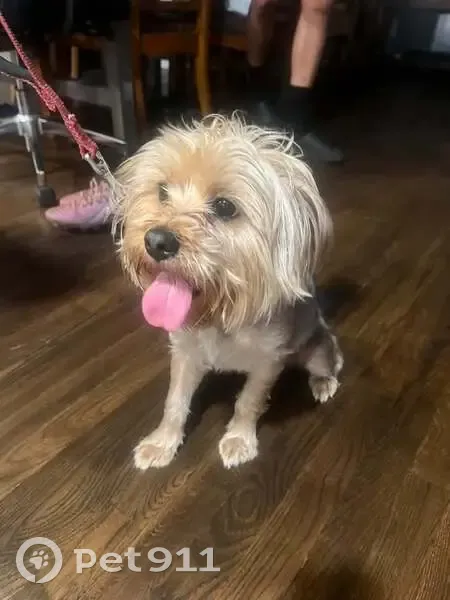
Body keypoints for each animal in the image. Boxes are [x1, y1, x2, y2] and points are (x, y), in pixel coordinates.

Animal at [113, 115, 343, 469]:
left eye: (224, 207)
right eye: (162, 192)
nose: (156, 241)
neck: (220, 312)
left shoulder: (267, 362)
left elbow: (248, 402)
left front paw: (239, 439)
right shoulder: (185, 352)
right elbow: (175, 402)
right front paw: (162, 442)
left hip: (316, 347)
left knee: (329, 360)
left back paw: (324, 381)